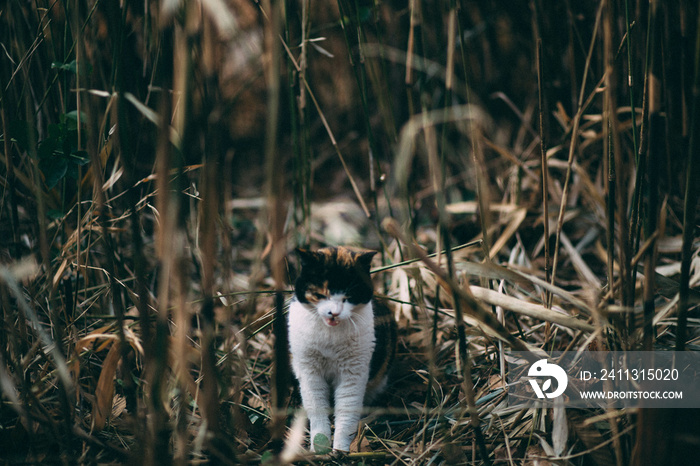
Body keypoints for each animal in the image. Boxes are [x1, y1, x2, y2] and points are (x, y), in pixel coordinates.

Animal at [288, 248, 396, 452]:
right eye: (320, 294)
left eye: (349, 297)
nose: (334, 312)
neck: (330, 339)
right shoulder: (309, 371)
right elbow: (317, 409)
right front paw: (319, 448)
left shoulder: (353, 373)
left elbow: (347, 411)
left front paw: (340, 449)